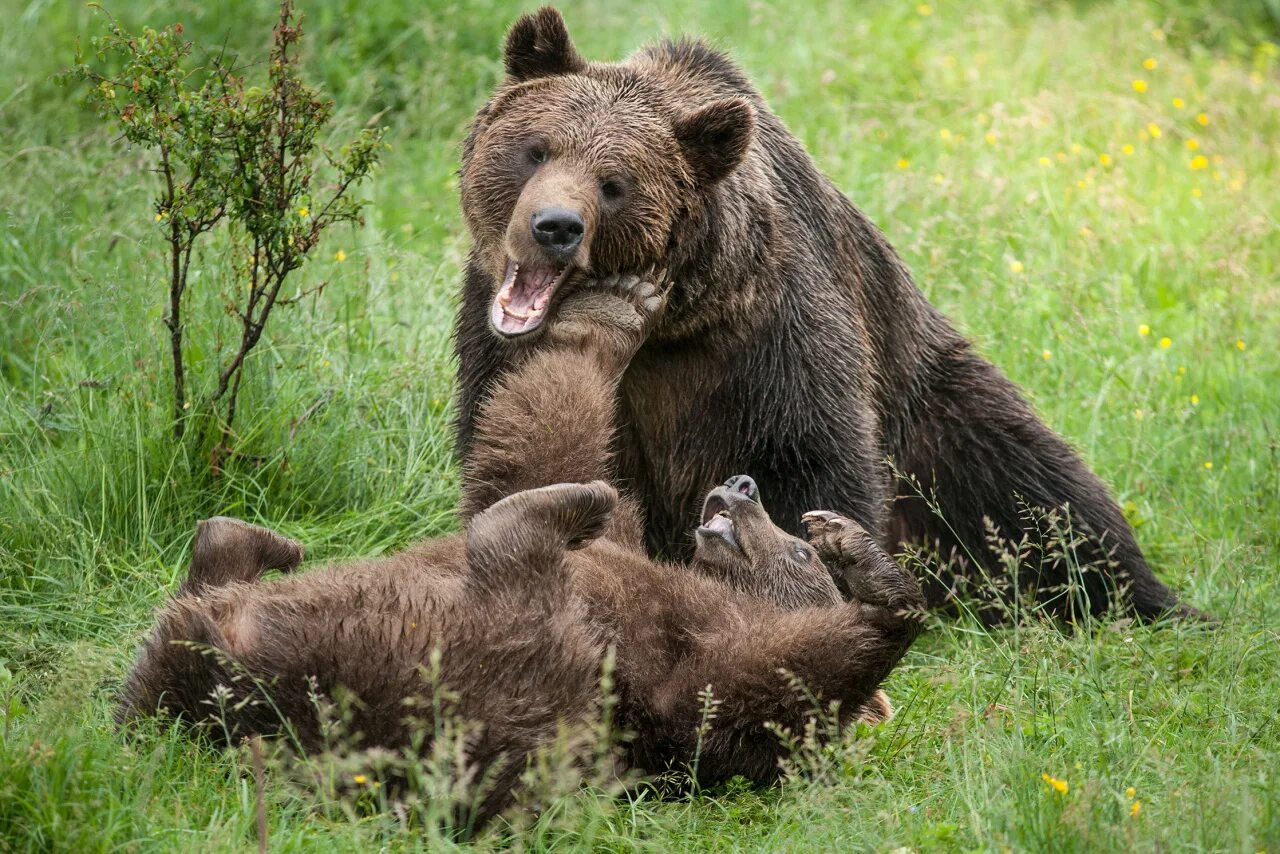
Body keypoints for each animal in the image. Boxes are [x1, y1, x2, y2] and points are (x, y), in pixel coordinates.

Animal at [117, 280, 921, 829]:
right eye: (789, 537)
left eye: (802, 557)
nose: (744, 482)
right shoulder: (630, 556)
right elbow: (536, 441)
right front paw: (615, 311)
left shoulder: (688, 669)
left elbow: (747, 689)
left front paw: (871, 565)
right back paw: (260, 544)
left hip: (457, 679)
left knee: (518, 585)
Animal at [453, 5, 1198, 622]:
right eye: (536, 149)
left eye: (615, 183)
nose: (555, 226)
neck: (674, 325)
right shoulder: (497, 342)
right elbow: (526, 460)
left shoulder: (767, 338)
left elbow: (806, 453)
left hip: (929, 409)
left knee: (1032, 491)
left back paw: (1147, 603)